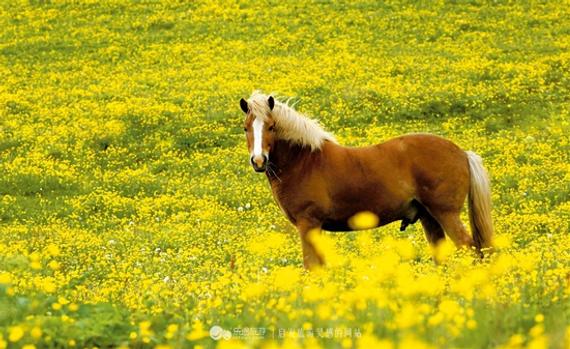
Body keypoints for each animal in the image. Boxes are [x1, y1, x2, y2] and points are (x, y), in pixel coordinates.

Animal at [237, 91, 490, 268]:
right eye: (245, 128)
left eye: (271, 127)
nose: (258, 161)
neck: (304, 161)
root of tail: (463, 153)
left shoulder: (308, 224)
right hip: (429, 218)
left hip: (446, 214)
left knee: (470, 249)